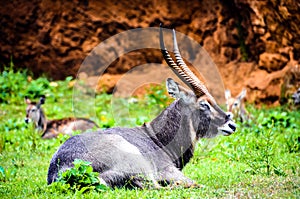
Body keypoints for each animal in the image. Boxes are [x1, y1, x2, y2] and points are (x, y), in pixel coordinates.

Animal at [47, 27, 237, 189]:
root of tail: (64, 170)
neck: (156, 137)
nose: (232, 125)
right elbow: (196, 184)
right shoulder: (169, 171)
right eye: (204, 104)